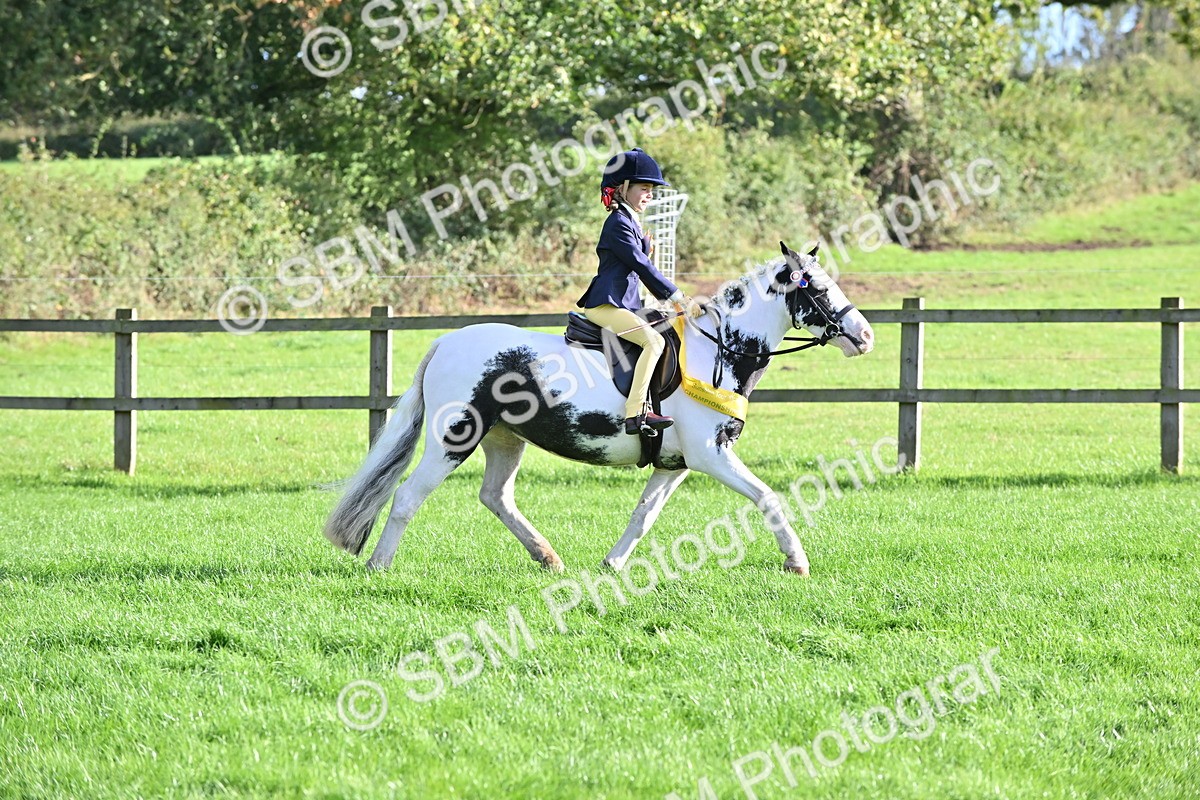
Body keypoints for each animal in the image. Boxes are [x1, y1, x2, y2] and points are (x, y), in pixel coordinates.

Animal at [323, 242, 874, 576]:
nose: (864, 336)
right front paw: (796, 562)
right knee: (407, 496)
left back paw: (547, 557)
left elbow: (643, 517)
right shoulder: (710, 455)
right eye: (816, 288)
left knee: (495, 496)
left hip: (505, 439)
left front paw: (613, 564)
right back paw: (379, 566)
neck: (718, 349)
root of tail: (446, 342)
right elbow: (767, 497)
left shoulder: (674, 464)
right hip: (454, 438)